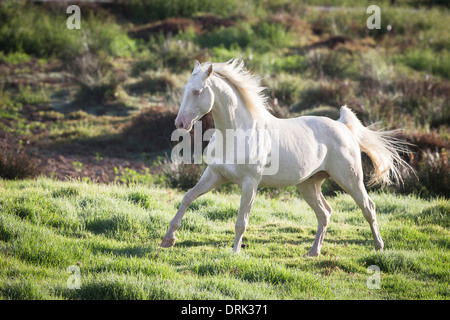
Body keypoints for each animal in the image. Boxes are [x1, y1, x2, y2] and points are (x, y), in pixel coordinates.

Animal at [161, 58, 408, 256]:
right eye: (185, 89)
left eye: (197, 91)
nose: (180, 124)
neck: (235, 133)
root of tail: (342, 126)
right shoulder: (215, 175)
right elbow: (187, 198)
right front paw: (168, 239)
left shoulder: (250, 183)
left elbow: (241, 221)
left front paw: (234, 252)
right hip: (308, 184)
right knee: (325, 213)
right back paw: (313, 252)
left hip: (350, 180)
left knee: (368, 207)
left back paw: (379, 246)